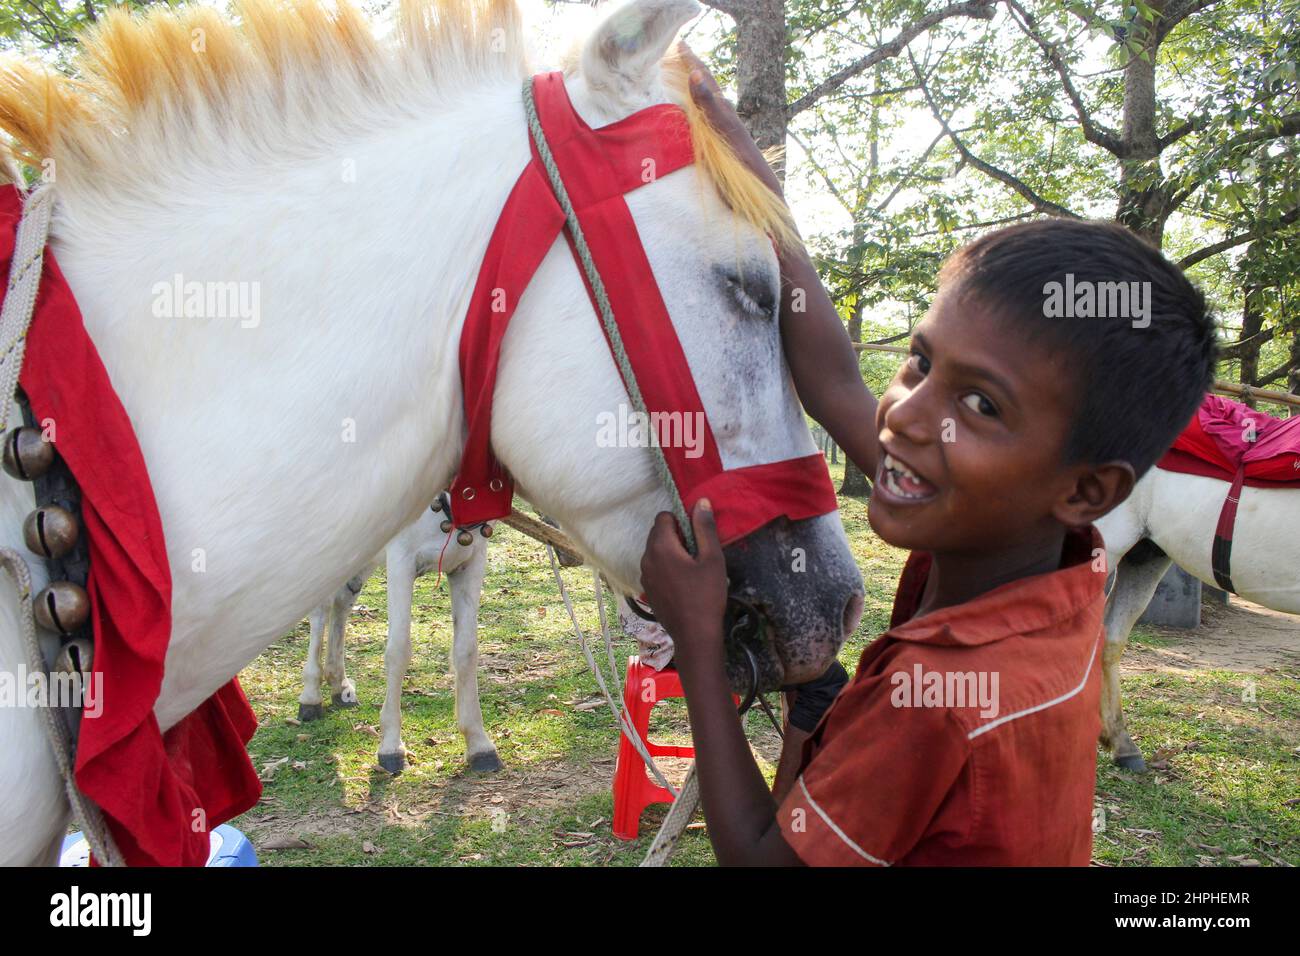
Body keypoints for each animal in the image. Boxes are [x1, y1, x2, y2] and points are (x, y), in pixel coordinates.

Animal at [2, 0, 873, 868]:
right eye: (751, 288)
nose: (841, 603)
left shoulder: (467, 568)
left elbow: (461, 651)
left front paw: (476, 743)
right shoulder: (392, 561)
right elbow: (394, 648)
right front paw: (389, 747)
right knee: (327, 614)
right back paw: (319, 691)